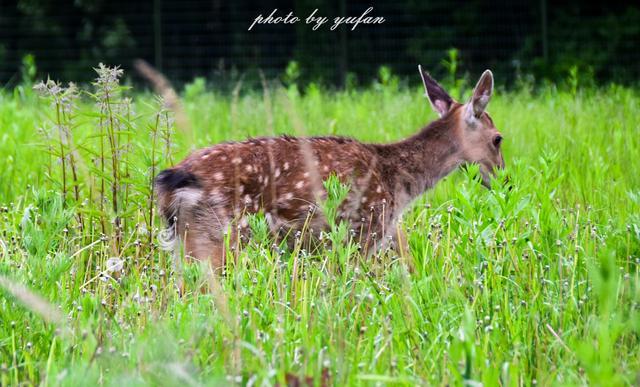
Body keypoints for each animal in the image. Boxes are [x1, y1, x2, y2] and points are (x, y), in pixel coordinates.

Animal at [155, 66, 504, 272]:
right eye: (498, 138)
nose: (504, 180)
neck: (399, 182)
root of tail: (173, 180)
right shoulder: (363, 231)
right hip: (219, 235)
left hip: (184, 241)